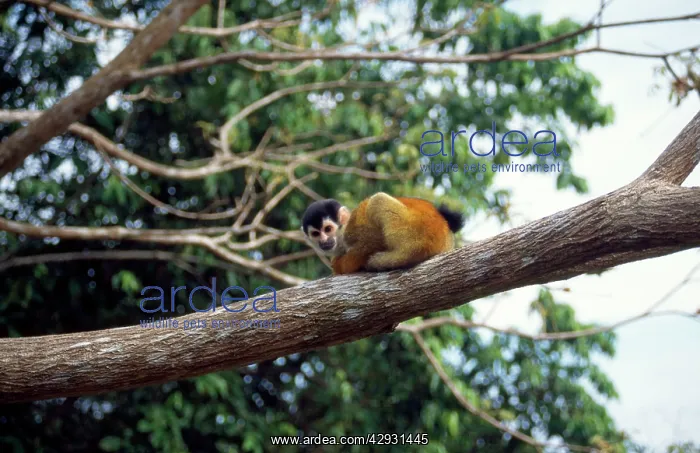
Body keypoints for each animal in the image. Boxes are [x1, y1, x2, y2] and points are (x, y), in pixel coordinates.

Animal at [301, 192, 465, 275]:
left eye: (328, 229)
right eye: (316, 234)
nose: (324, 241)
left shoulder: (352, 229)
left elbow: (373, 241)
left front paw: (341, 266)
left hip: (416, 229)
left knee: (378, 199)